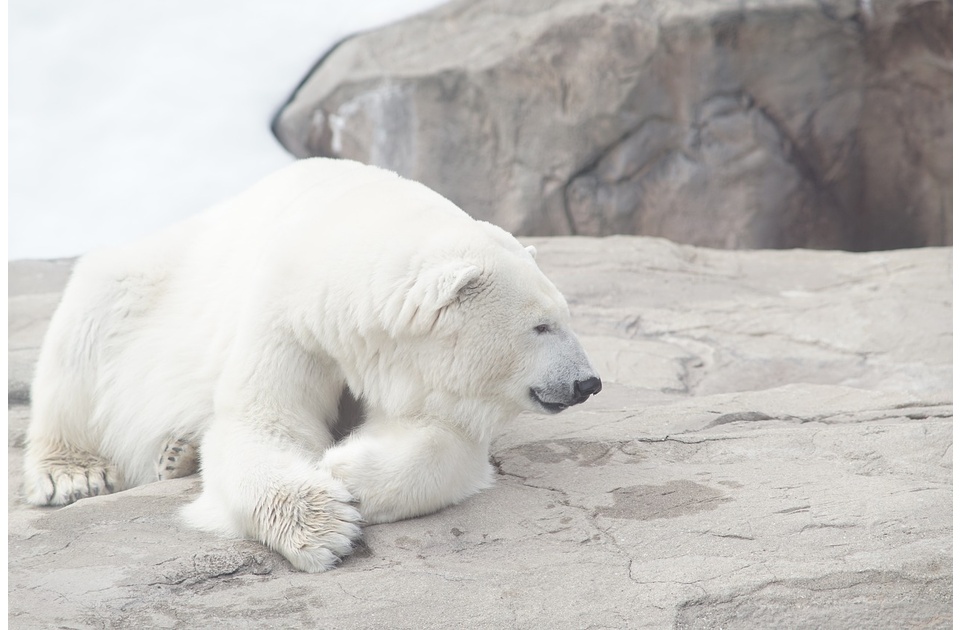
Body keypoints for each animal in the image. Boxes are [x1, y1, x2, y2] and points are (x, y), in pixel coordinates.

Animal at [22, 158, 600, 572]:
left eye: (566, 316)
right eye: (541, 326)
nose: (588, 382)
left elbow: (443, 437)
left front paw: (346, 470)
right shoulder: (289, 318)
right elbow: (263, 423)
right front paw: (325, 524)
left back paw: (177, 454)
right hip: (139, 286)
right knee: (83, 335)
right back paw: (74, 474)